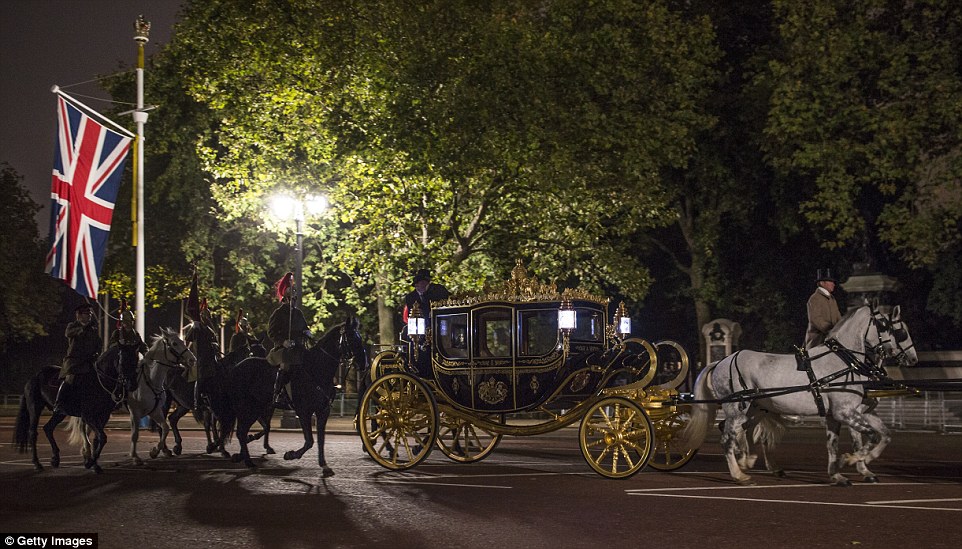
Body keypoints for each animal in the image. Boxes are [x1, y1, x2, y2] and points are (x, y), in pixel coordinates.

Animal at [125, 328, 197, 464]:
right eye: (174, 343)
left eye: (182, 341)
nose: (192, 360)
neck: (150, 380)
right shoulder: (135, 411)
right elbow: (135, 434)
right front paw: (136, 456)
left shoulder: (154, 410)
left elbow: (165, 427)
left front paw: (155, 451)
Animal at [219, 316, 366, 476]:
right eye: (351, 337)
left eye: (359, 337)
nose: (364, 363)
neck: (316, 369)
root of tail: (235, 368)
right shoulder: (303, 412)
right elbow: (309, 441)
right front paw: (290, 455)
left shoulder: (323, 411)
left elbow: (321, 440)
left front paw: (324, 465)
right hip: (247, 408)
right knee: (241, 431)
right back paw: (247, 460)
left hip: (256, 408)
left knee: (244, 430)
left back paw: (243, 455)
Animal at [684, 304, 916, 484]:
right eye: (893, 329)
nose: (912, 359)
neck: (845, 362)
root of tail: (721, 361)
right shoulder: (846, 412)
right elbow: (870, 436)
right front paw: (852, 461)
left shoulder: (840, 414)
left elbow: (840, 443)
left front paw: (840, 474)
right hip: (738, 409)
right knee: (728, 439)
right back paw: (739, 475)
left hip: (753, 410)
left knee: (741, 433)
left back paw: (749, 462)